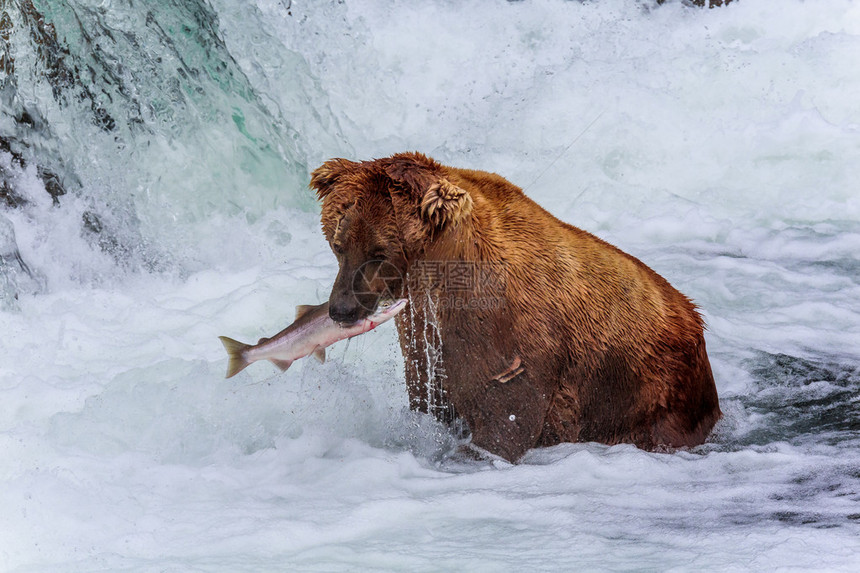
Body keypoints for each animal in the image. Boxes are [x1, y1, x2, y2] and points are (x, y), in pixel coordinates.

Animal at [310, 151, 720, 460]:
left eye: (378, 252)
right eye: (338, 244)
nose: (341, 309)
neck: (438, 277)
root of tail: (695, 320)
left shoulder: (507, 332)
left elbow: (506, 416)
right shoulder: (423, 333)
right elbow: (430, 398)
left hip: (651, 394)